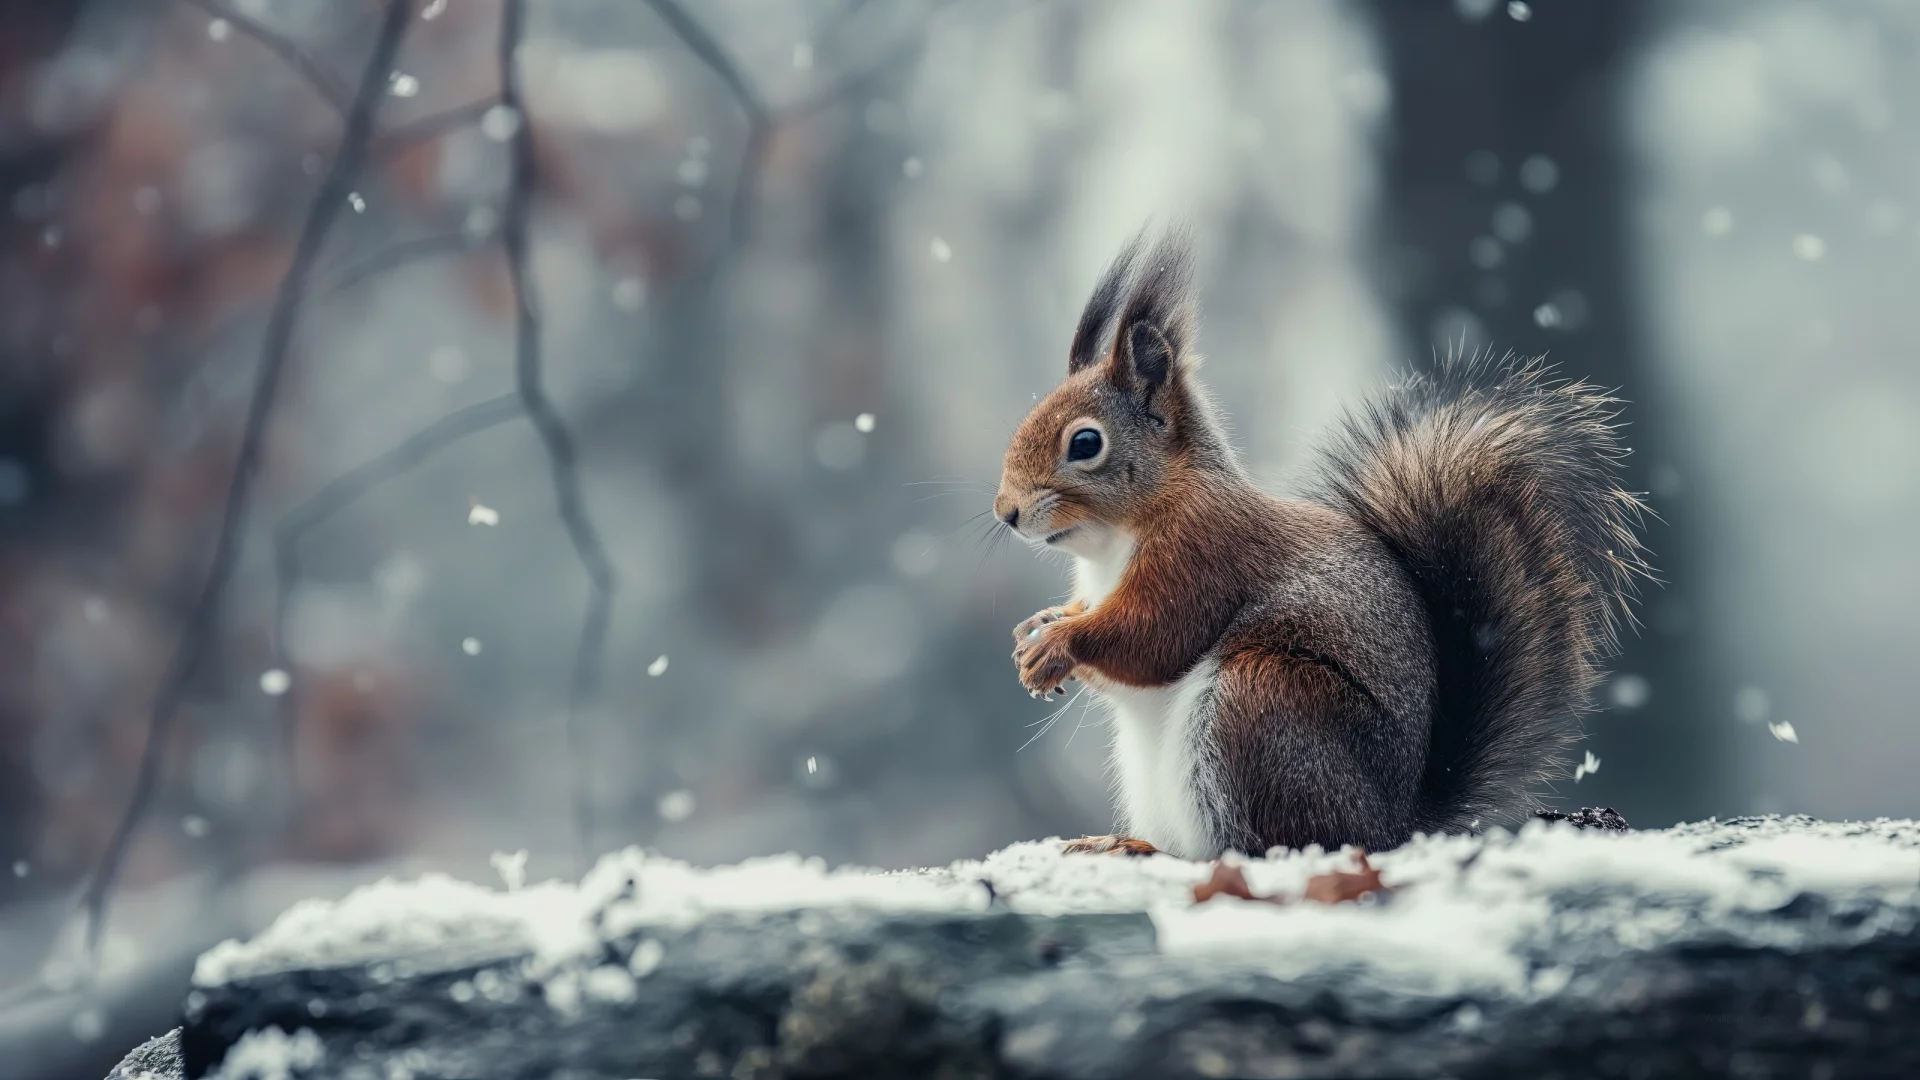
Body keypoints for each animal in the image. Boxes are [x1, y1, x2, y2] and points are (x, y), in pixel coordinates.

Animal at [995, 230, 1650, 859]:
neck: (1112, 542)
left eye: (1085, 443)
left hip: (1259, 701)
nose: (1007, 513)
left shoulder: (1205, 553)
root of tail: (1392, 824)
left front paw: (1059, 642)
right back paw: (1121, 841)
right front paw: (1038, 629)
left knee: (1271, 843)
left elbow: (1153, 636)